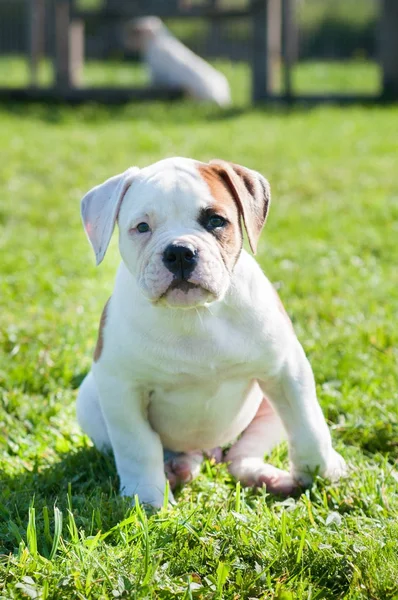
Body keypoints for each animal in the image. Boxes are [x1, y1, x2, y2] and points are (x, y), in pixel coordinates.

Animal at [77, 156, 346, 506]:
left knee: (242, 456)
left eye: (216, 221)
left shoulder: (287, 370)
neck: (195, 315)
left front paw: (322, 470)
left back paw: (266, 477)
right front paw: (145, 499)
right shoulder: (122, 388)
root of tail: (207, 452)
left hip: (267, 409)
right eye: (142, 227)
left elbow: (308, 424)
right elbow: (137, 446)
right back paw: (176, 469)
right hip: (90, 403)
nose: (179, 251)